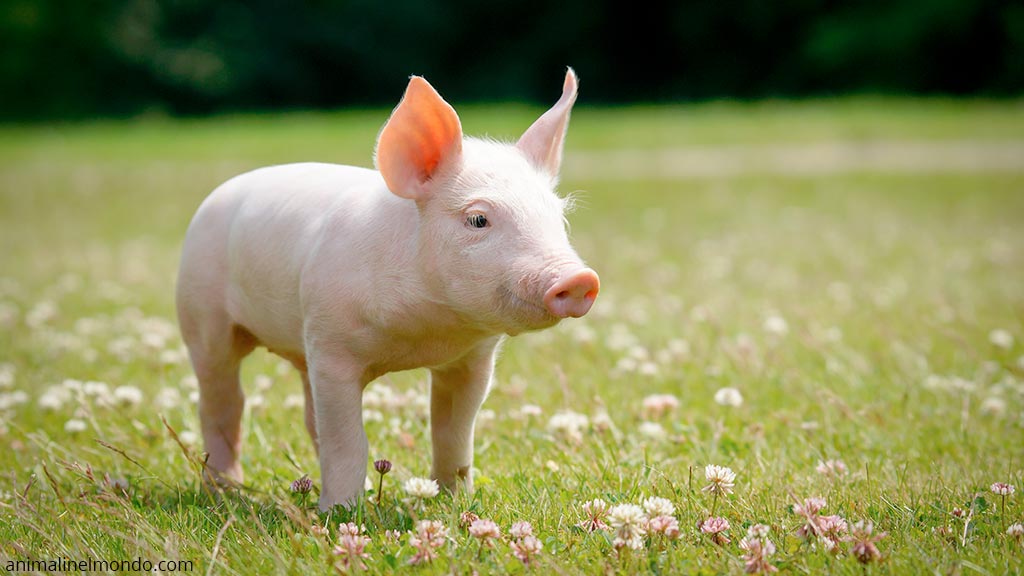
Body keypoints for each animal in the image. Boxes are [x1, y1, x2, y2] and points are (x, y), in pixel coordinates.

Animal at [176, 68, 599, 510]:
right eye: (478, 219)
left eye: (560, 218)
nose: (579, 279)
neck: (424, 334)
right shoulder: (332, 347)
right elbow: (348, 441)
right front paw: (341, 513)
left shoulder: (472, 360)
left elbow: (453, 432)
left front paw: (454, 501)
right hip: (202, 316)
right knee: (223, 402)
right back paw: (225, 489)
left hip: (302, 348)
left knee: (308, 417)